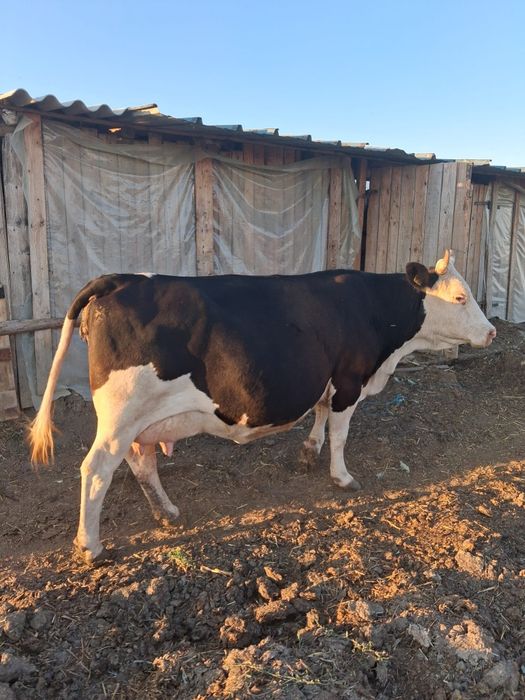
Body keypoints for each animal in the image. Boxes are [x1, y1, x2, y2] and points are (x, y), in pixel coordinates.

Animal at [29, 249, 496, 564]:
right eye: (460, 297)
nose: (492, 332)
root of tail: (120, 279)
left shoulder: (325, 379)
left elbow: (320, 415)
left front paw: (309, 453)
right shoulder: (349, 380)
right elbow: (341, 432)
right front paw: (342, 477)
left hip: (139, 419)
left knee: (140, 461)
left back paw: (167, 512)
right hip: (122, 411)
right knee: (97, 469)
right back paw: (91, 546)